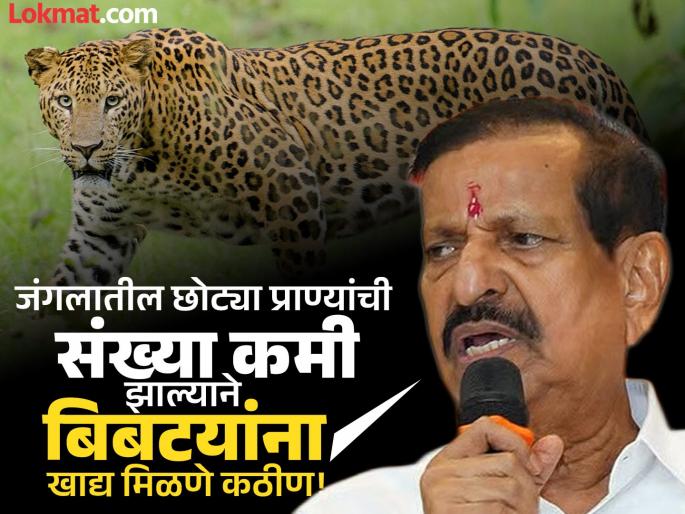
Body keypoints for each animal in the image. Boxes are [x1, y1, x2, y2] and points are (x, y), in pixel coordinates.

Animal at [25, 27, 647, 285]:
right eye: (64, 101)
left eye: (111, 101)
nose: (86, 148)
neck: (139, 164)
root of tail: (597, 65)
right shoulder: (99, 236)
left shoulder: (290, 189)